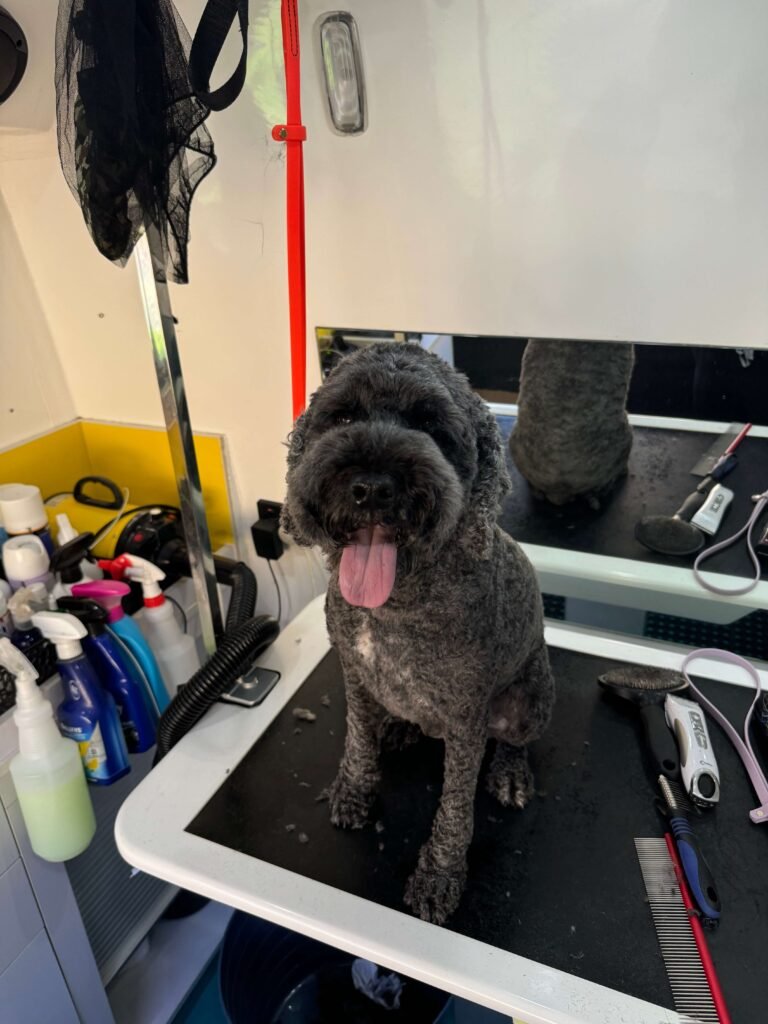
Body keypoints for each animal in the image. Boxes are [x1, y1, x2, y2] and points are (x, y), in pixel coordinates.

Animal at [282, 344, 552, 929]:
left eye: (431, 427)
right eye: (343, 417)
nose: (371, 487)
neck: (394, 607)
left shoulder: (468, 717)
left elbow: (455, 807)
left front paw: (440, 876)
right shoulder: (354, 674)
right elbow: (358, 740)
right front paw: (354, 790)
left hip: (529, 700)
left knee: (516, 741)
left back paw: (510, 772)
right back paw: (402, 728)